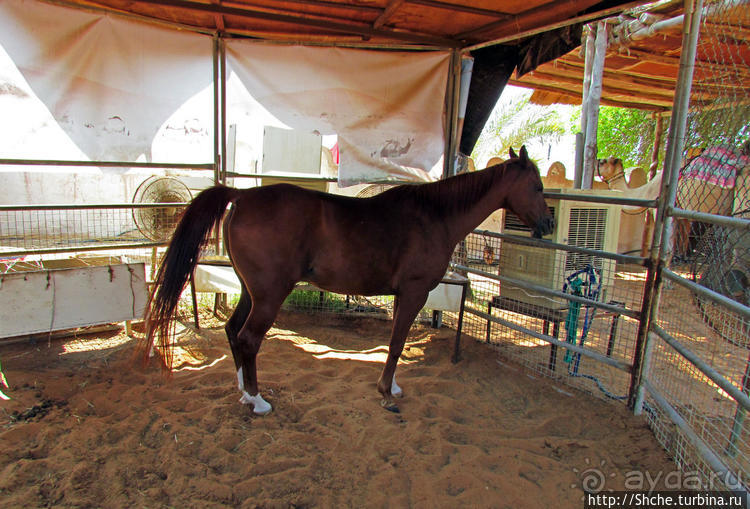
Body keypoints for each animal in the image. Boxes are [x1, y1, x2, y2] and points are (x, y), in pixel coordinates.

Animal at [147, 146, 556, 412]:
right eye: (537, 186)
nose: (549, 224)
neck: (435, 216)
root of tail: (242, 195)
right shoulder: (414, 292)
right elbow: (397, 344)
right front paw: (386, 394)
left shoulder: (405, 294)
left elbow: (395, 343)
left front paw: (392, 388)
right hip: (270, 295)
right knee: (248, 338)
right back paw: (259, 400)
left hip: (251, 291)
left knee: (233, 331)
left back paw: (245, 391)